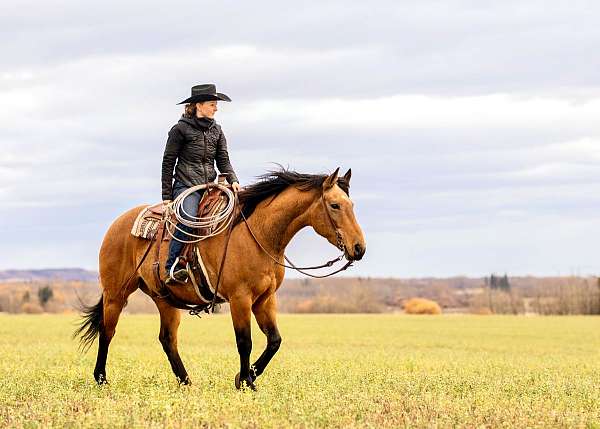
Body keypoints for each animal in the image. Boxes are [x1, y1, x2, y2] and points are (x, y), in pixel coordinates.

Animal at [75, 167, 366, 388]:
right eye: (335, 205)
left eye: (352, 204)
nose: (359, 248)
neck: (258, 234)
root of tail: (118, 224)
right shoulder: (240, 298)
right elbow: (244, 341)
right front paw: (246, 382)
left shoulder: (265, 299)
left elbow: (274, 341)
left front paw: (247, 377)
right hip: (116, 294)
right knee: (107, 331)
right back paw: (101, 379)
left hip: (164, 299)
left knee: (168, 339)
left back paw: (186, 382)